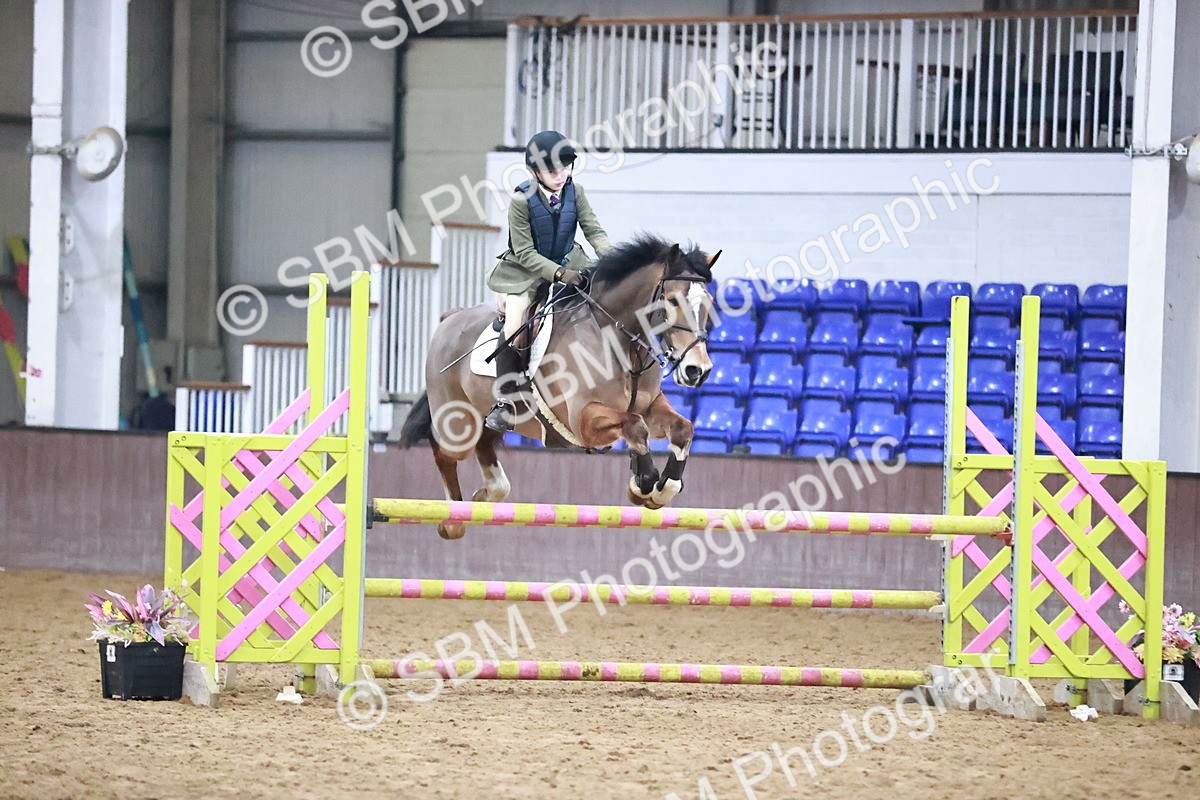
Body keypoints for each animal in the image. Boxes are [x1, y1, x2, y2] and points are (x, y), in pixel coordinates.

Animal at [400, 235, 719, 539]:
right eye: (672, 300)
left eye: (708, 303)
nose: (697, 370)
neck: (617, 338)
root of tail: (449, 319)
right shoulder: (582, 420)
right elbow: (635, 427)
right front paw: (643, 484)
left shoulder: (651, 406)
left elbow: (681, 429)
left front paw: (661, 488)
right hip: (458, 427)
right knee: (444, 451)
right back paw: (453, 520)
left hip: (490, 421)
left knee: (485, 449)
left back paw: (484, 497)